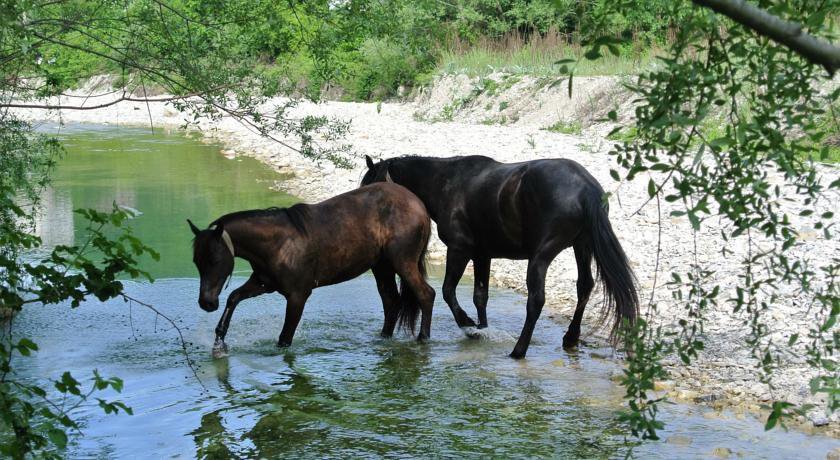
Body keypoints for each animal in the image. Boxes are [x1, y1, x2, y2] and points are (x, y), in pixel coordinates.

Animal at [189, 182, 436, 356]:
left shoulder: (298, 296)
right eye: (196, 262)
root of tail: (419, 205)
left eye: (214, 260)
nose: (206, 303)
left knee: (426, 295)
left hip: (403, 263)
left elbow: (284, 339)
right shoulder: (263, 283)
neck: (278, 243)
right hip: (382, 267)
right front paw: (219, 342)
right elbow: (233, 297)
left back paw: (423, 339)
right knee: (391, 302)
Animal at [360, 156, 636, 358]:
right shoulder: (482, 255)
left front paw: (468, 325)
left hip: (542, 255)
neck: (447, 183)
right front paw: (482, 330)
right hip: (582, 246)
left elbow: (449, 290)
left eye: (372, 185)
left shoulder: (459, 250)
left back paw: (518, 351)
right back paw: (570, 338)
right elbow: (480, 296)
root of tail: (586, 189)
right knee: (584, 287)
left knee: (536, 300)